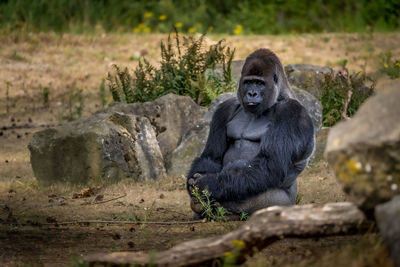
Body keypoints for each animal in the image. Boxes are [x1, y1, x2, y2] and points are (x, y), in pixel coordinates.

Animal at [187, 49, 316, 219]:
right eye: (248, 82)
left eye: (260, 83)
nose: (252, 93)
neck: (277, 98)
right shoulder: (224, 109)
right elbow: (211, 157)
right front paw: (196, 183)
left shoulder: (292, 112)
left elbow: (270, 162)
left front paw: (209, 184)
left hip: (283, 204)